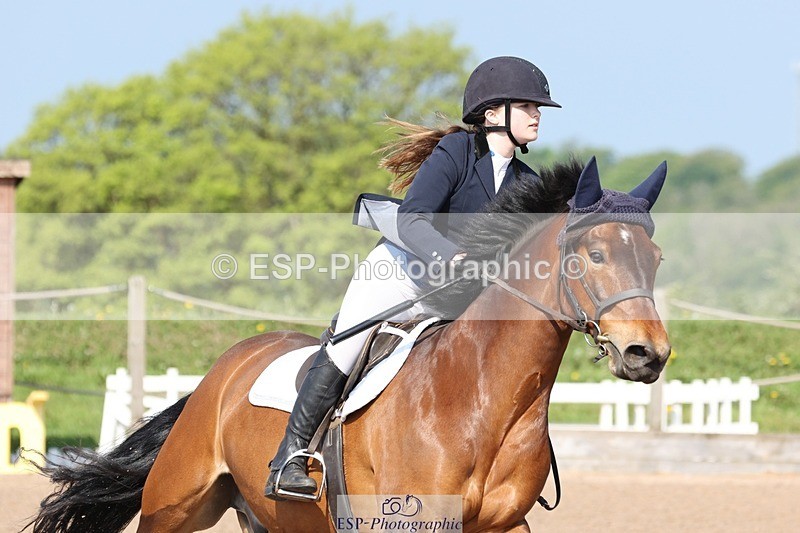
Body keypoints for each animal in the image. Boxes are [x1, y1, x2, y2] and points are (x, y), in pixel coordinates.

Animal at [26, 156, 671, 532]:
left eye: (655, 257)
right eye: (593, 255)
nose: (649, 354)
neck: (485, 399)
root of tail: (221, 372)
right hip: (175, 505)